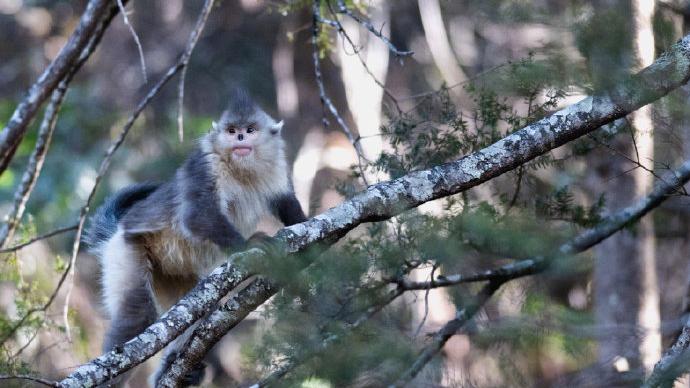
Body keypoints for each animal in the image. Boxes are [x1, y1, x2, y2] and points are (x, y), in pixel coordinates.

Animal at [84, 88, 306, 388]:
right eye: (232, 130)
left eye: (250, 130)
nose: (240, 138)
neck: (241, 170)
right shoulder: (206, 166)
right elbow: (197, 215)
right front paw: (251, 245)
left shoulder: (276, 168)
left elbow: (286, 202)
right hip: (125, 252)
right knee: (137, 315)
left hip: (173, 275)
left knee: (194, 312)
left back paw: (172, 369)